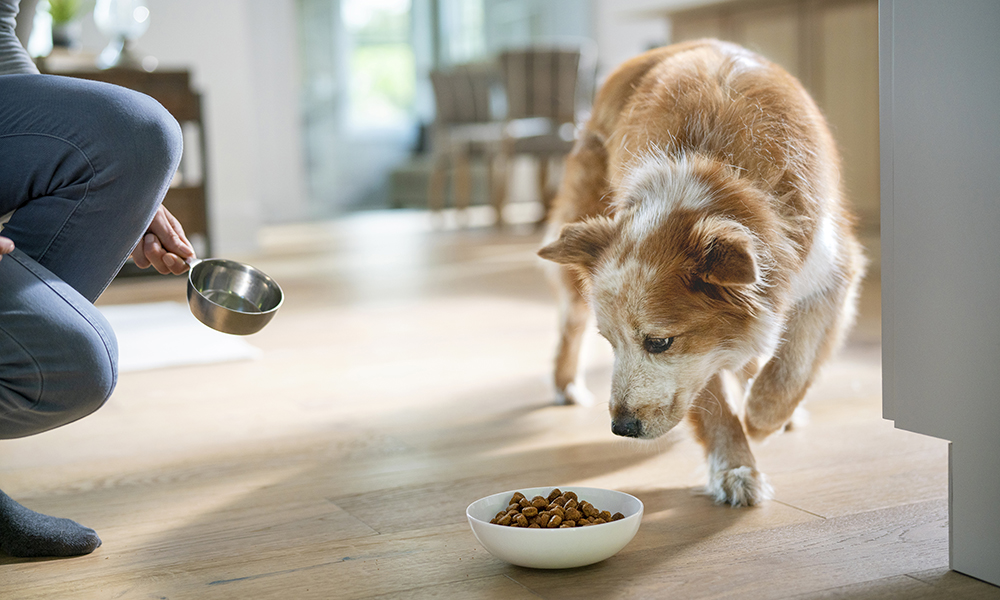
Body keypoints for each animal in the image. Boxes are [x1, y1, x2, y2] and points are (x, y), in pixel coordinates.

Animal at [544, 38, 864, 506]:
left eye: (658, 343)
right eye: (611, 342)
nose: (621, 428)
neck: (719, 182)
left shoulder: (832, 271)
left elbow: (792, 365)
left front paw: (761, 418)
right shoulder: (701, 353)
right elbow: (711, 398)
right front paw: (735, 467)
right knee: (570, 322)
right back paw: (565, 385)